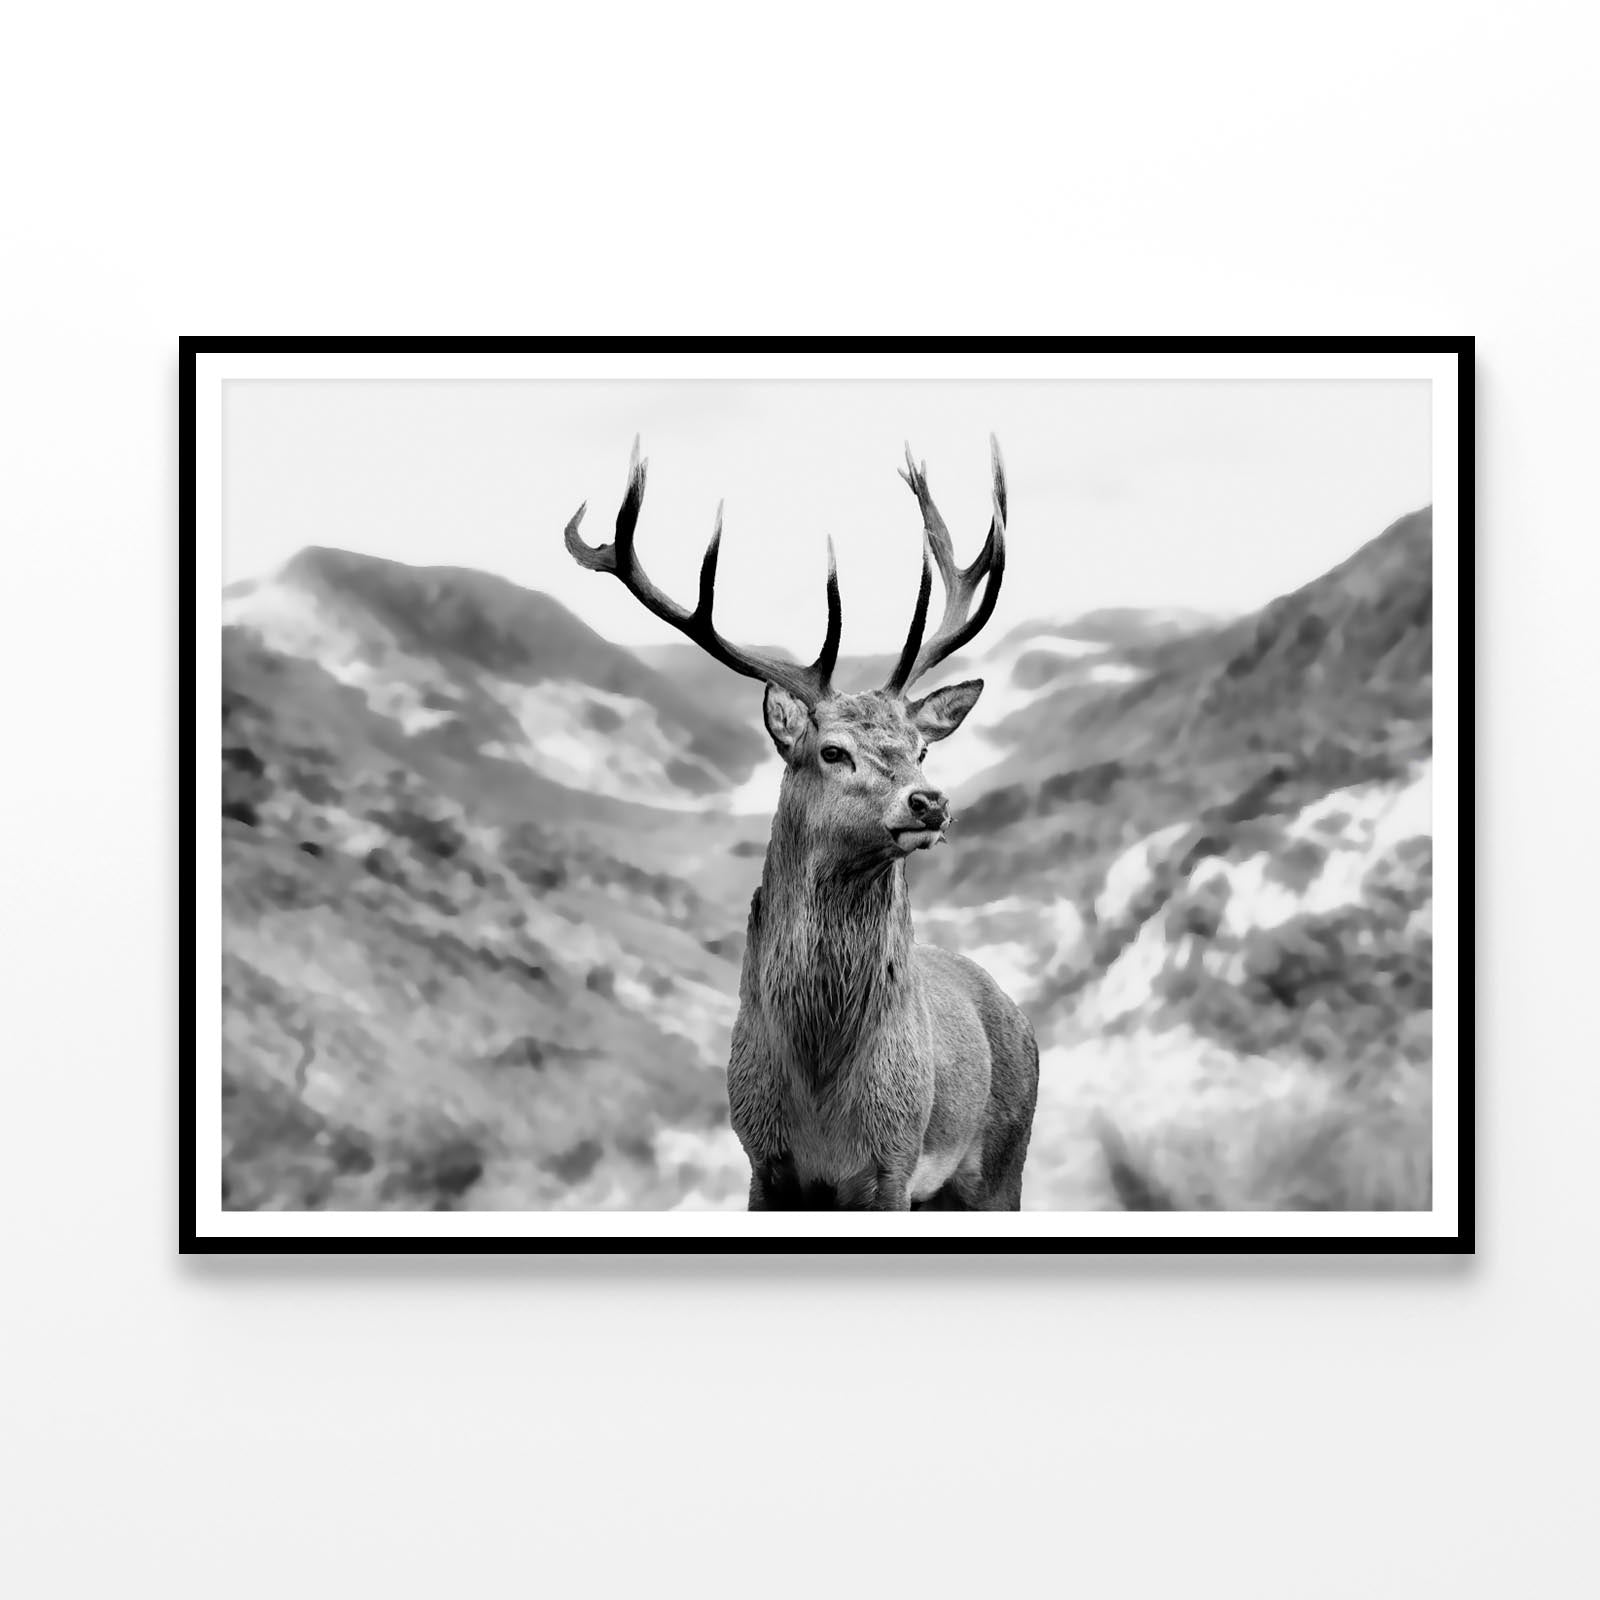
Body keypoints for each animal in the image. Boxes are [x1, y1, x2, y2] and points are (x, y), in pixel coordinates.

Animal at [565, 436, 1039, 1210]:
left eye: (920, 749)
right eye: (832, 750)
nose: (930, 802)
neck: (821, 1097)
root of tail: (1017, 1014)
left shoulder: (895, 1160)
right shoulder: (762, 1156)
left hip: (1003, 1161)